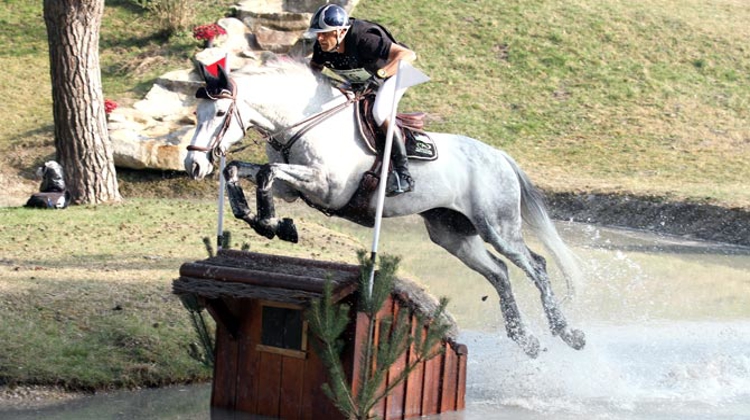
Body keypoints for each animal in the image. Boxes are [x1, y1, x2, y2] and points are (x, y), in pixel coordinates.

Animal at [184, 58, 588, 358]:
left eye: (219, 113)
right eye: (196, 112)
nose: (194, 165)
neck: (304, 121)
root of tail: (499, 155)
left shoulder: (327, 187)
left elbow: (266, 173)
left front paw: (271, 223)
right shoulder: (290, 189)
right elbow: (243, 171)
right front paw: (265, 221)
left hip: (497, 226)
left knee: (535, 265)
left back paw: (567, 332)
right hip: (452, 233)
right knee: (500, 272)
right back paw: (525, 339)